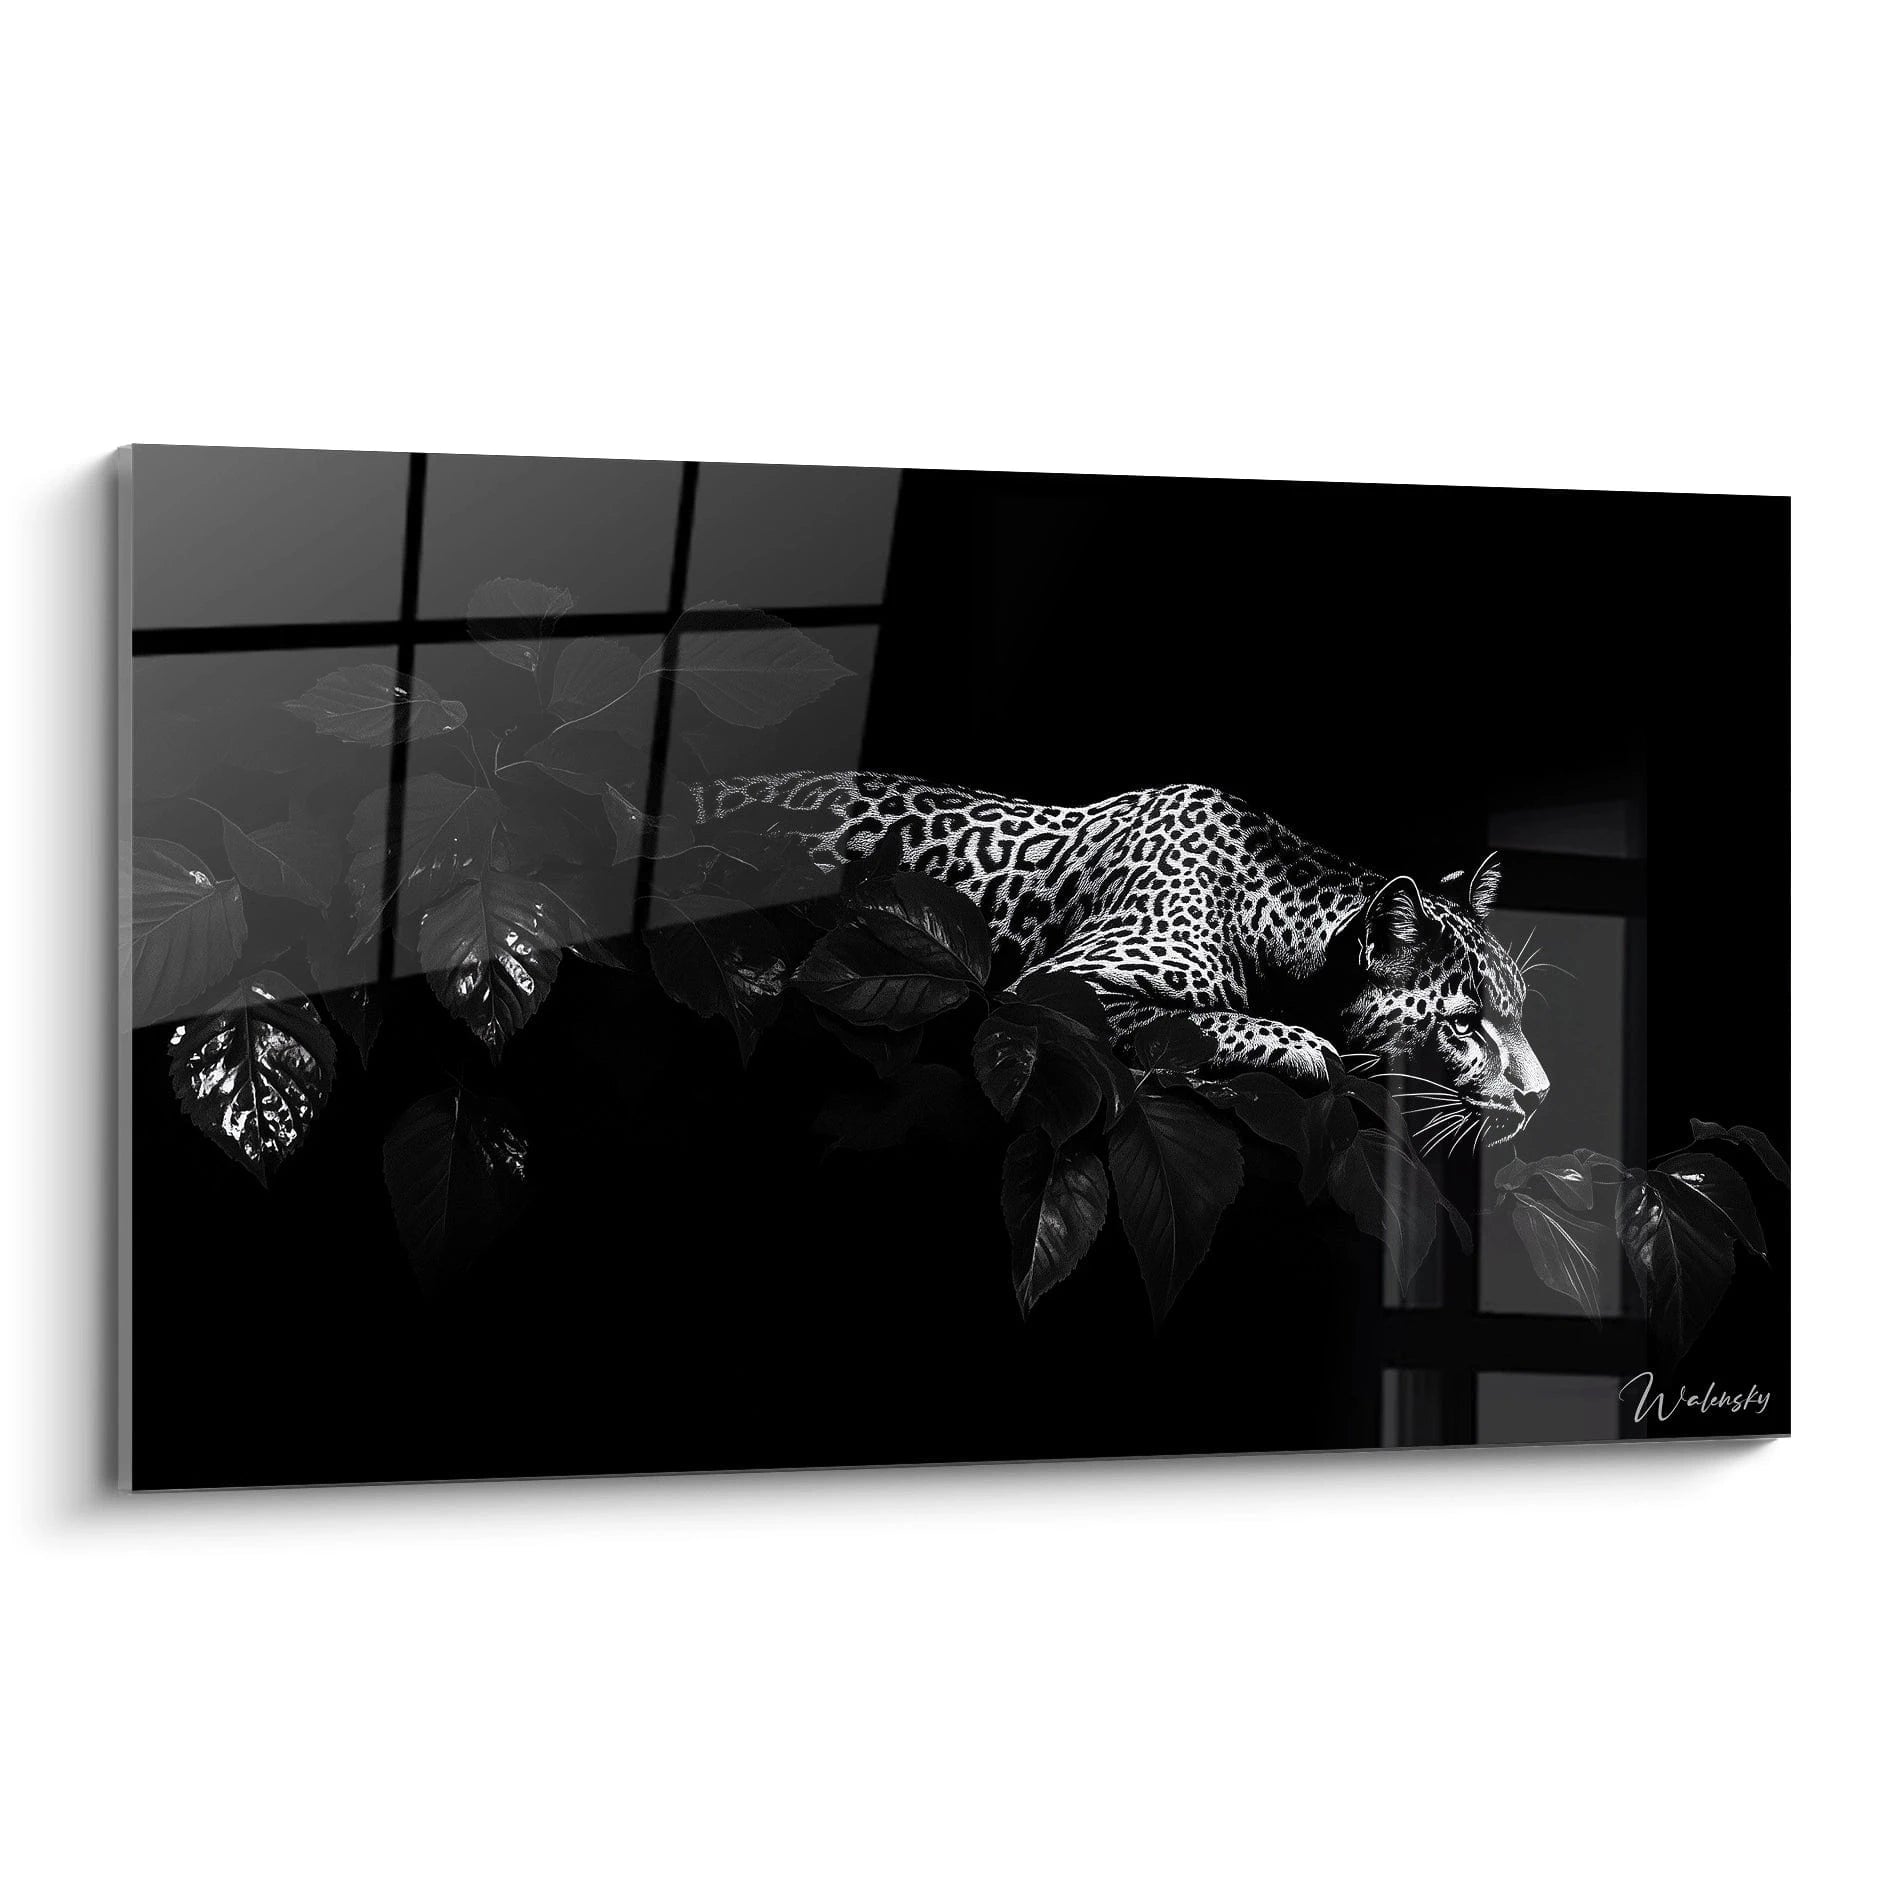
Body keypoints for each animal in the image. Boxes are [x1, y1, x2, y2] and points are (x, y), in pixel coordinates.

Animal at [668, 769, 1551, 1147]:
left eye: (1517, 1013)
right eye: (1466, 1024)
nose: (1543, 1097)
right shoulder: (1053, 986)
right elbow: (1217, 1022)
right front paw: (1312, 1049)